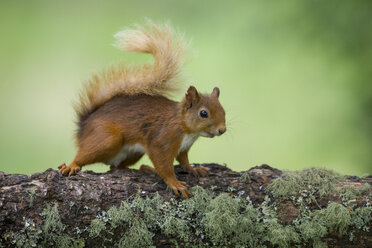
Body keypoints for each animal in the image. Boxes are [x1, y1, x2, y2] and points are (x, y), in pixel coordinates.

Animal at [58, 22, 227, 199]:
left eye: (224, 110)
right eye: (203, 113)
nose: (222, 130)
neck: (185, 127)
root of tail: (83, 127)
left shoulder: (183, 148)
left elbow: (184, 160)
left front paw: (194, 169)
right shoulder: (162, 141)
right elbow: (164, 166)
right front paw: (175, 184)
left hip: (134, 153)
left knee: (115, 167)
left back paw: (144, 169)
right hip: (106, 138)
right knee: (85, 155)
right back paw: (72, 165)